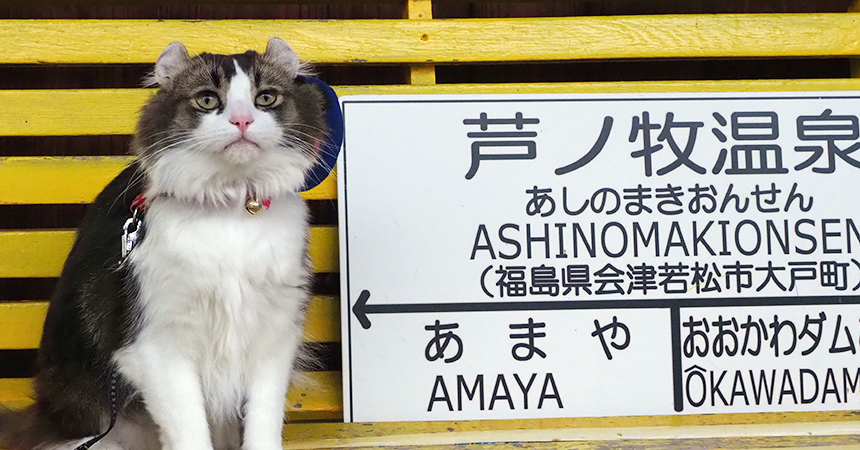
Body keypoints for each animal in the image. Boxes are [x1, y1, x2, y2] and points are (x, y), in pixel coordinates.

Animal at [0, 36, 338, 450]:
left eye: (266, 98)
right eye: (207, 100)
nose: (242, 120)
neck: (231, 209)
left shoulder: (273, 335)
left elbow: (263, 424)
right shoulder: (158, 344)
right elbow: (190, 431)